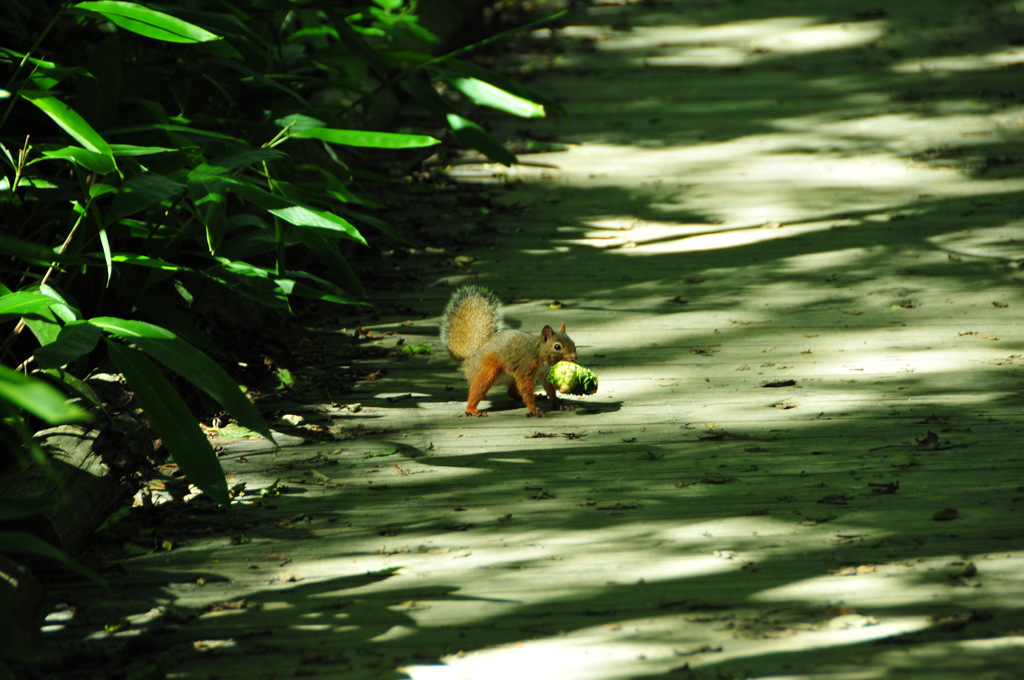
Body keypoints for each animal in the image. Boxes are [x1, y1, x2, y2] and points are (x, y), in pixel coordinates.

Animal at [438, 284, 577, 417]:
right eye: (557, 347)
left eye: (573, 343)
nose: (574, 357)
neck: (540, 356)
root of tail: (470, 360)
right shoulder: (526, 367)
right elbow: (525, 388)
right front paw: (534, 410)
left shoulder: (545, 373)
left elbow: (550, 389)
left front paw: (559, 404)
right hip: (486, 370)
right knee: (478, 389)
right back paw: (472, 410)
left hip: (510, 377)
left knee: (511, 392)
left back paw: (536, 396)